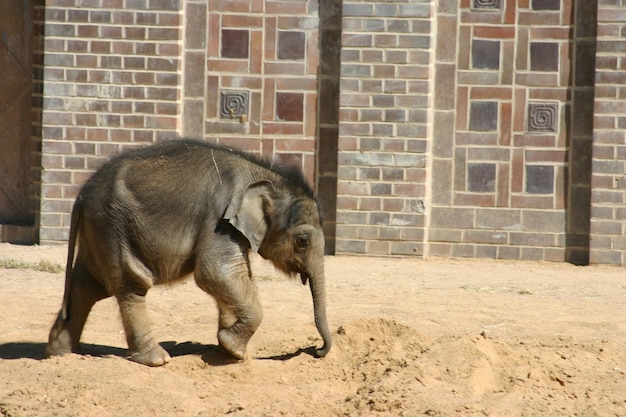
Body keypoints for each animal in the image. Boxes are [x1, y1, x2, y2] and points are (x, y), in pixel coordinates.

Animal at [45, 139, 332, 364]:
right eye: (303, 241)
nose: (316, 350)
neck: (261, 174)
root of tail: (82, 195)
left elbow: (237, 275)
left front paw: (226, 350)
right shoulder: (219, 219)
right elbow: (215, 272)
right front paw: (234, 349)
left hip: (98, 231)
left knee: (86, 285)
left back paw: (61, 355)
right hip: (112, 226)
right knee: (131, 283)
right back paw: (156, 359)